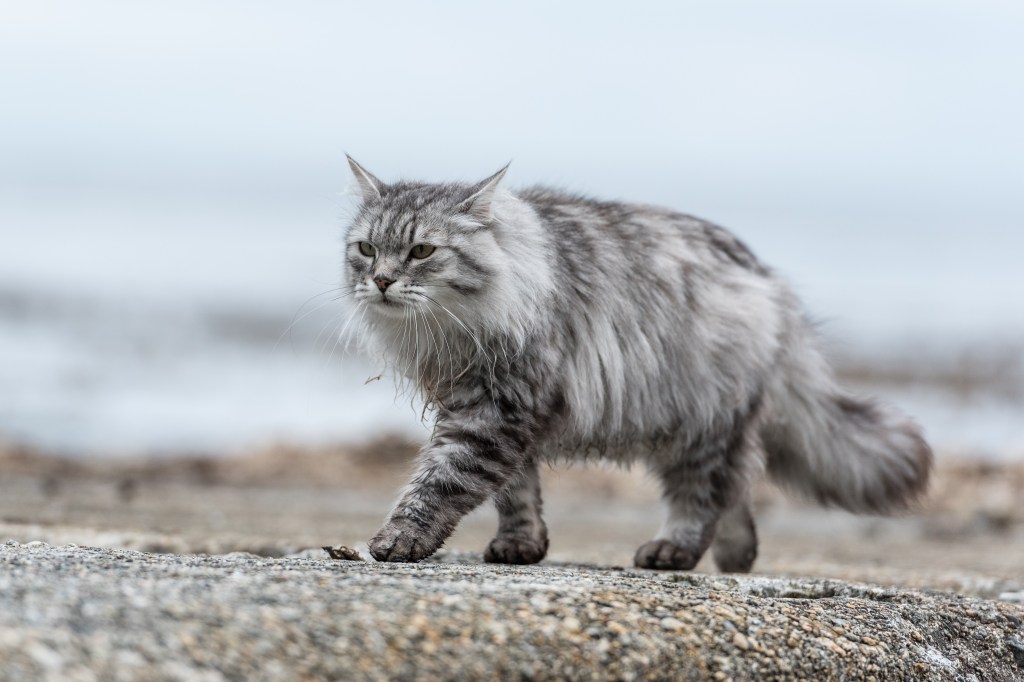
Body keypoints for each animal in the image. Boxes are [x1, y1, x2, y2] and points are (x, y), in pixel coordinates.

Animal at [342, 155, 929, 569]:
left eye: (422, 251)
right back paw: (737, 555)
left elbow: (440, 481)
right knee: (737, 487)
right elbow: (516, 493)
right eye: (366, 249)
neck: (453, 329)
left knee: (705, 495)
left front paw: (399, 539)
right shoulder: (496, 407)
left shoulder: (495, 409)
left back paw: (674, 551)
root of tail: (768, 280)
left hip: (700, 422)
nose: (382, 281)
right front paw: (521, 545)